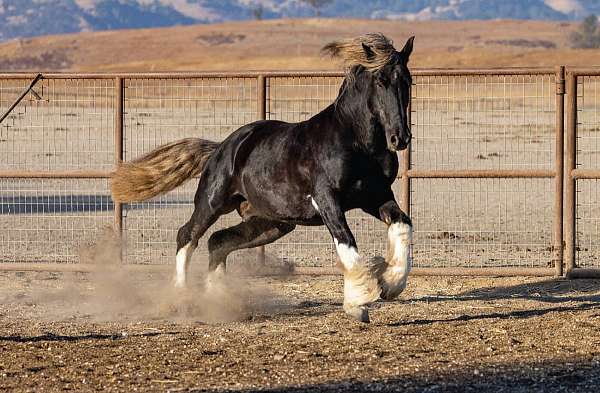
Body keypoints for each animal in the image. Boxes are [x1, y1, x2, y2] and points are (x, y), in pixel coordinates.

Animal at [111, 33, 412, 322]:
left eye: (407, 81)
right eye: (381, 81)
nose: (400, 138)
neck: (356, 142)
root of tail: (221, 148)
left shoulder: (376, 197)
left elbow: (402, 224)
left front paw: (390, 283)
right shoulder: (327, 199)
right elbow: (347, 242)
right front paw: (358, 304)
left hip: (272, 222)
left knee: (219, 241)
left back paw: (218, 300)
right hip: (212, 202)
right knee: (188, 235)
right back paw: (182, 300)